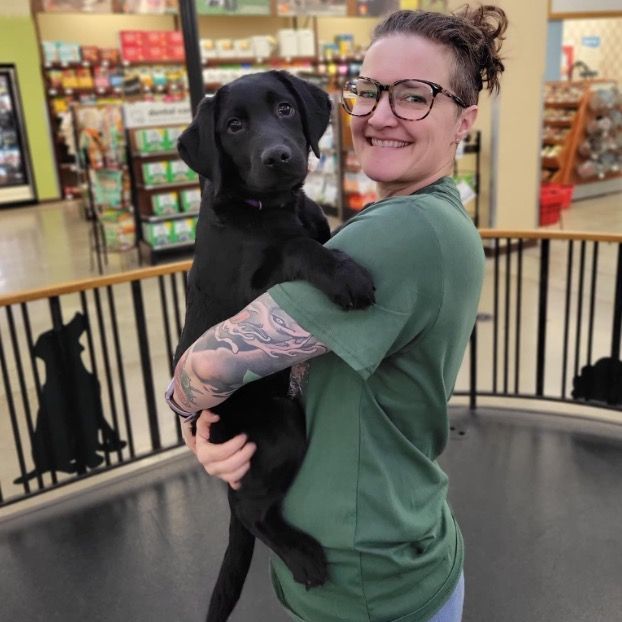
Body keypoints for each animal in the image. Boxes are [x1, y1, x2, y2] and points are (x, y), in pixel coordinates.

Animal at [174, 70, 376, 620]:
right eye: (234, 126)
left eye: (285, 109)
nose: (278, 156)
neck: (271, 207)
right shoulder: (254, 284)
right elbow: (297, 247)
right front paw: (346, 274)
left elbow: (314, 234)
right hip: (282, 424)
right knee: (249, 510)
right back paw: (304, 556)